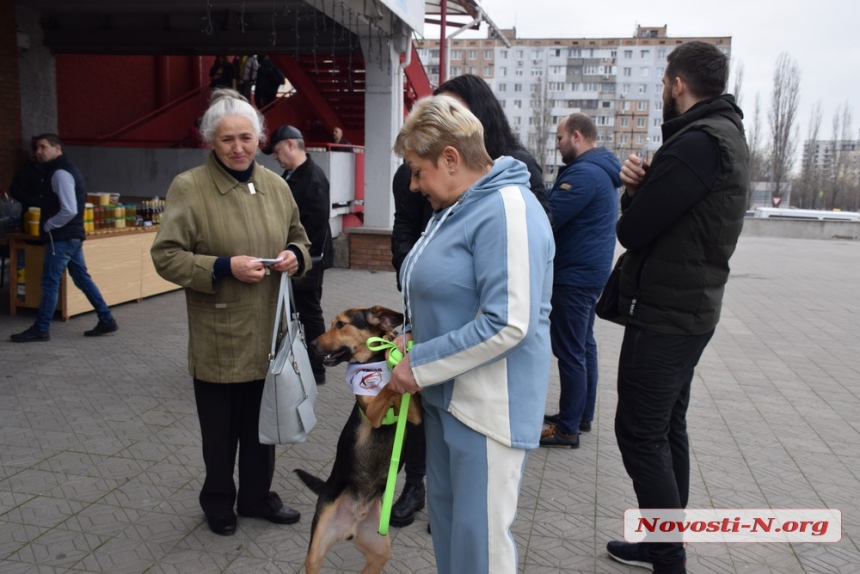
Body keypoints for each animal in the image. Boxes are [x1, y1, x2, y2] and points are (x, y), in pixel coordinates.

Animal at [296, 308, 424, 572]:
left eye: (341, 325)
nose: (311, 344)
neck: (371, 364)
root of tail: (353, 522)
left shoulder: (414, 415)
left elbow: (397, 388)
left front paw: (394, 349)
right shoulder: (374, 413)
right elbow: (389, 388)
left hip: (380, 552)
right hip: (315, 552)